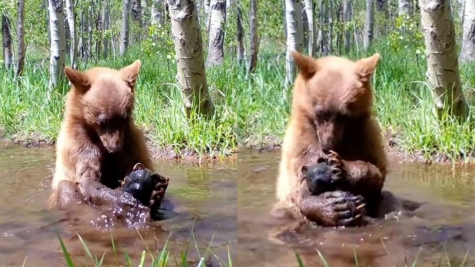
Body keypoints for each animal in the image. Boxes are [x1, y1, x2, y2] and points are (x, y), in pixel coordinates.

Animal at [49, 60, 167, 220]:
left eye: (124, 118)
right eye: (103, 121)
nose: (115, 148)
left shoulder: (130, 140)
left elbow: (135, 162)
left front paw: (155, 192)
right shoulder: (78, 144)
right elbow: (87, 177)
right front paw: (123, 199)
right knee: (65, 188)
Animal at [276, 51, 390, 227]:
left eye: (344, 115)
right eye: (320, 112)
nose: (327, 145)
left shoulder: (365, 136)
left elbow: (376, 172)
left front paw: (341, 167)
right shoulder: (301, 143)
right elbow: (301, 182)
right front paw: (332, 208)